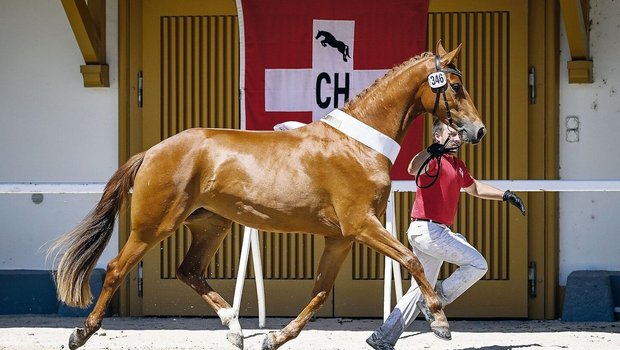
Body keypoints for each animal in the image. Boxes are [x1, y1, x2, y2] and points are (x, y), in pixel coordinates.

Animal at [49, 43, 484, 350]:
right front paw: (440, 321)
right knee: (117, 269)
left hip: (211, 224)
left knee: (189, 271)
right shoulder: (361, 225)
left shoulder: (341, 237)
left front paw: (274, 338)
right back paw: (81, 332)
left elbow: (320, 292)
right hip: (154, 224)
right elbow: (412, 259)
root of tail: (152, 151)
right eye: (456, 87)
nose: (477, 130)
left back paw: (235, 328)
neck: (358, 145)